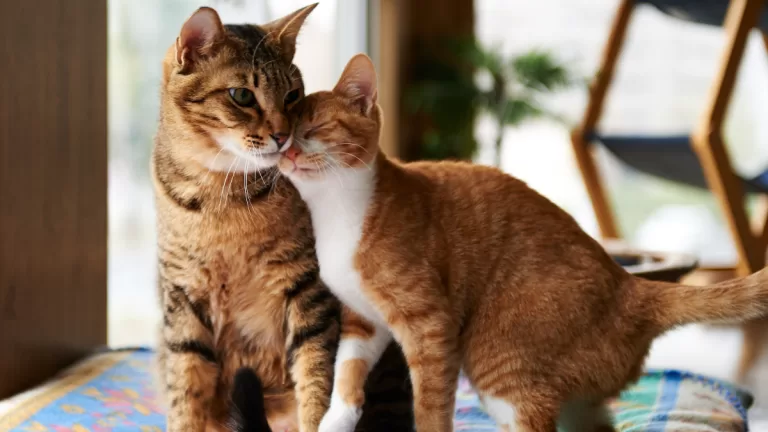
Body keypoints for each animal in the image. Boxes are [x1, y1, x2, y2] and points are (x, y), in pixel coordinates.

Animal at [152, 6, 412, 432]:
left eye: (292, 95)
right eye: (242, 95)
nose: (282, 137)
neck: (222, 196)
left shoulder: (309, 289)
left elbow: (317, 382)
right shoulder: (183, 298)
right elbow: (186, 393)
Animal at [280, 54, 768, 432]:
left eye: (315, 127)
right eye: (283, 132)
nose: (285, 148)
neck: (337, 211)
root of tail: (630, 285)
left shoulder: (429, 324)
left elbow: (430, 405)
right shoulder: (363, 319)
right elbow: (346, 375)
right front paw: (333, 421)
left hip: (499, 358)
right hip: (570, 398)